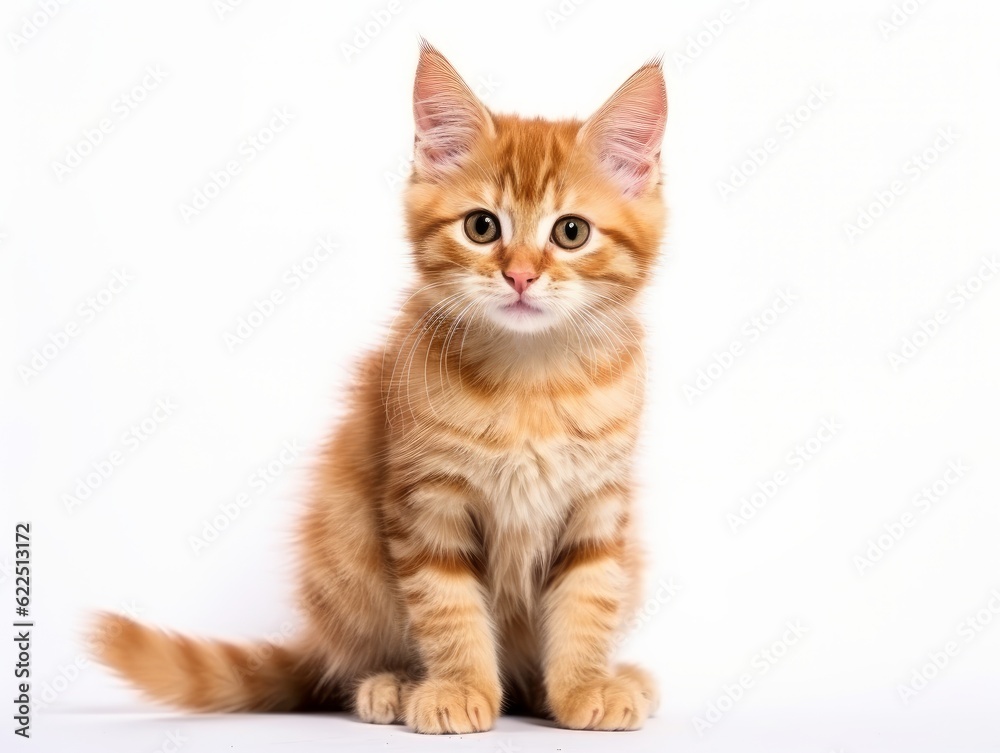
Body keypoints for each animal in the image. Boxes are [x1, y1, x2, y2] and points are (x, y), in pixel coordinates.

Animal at [94, 42, 668, 736]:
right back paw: (391, 684)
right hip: (345, 546)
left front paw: (584, 685)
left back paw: (593, 680)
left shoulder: (599, 506)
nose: (520, 276)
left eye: (571, 232)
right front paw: (459, 687)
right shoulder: (425, 502)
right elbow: (447, 607)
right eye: (482, 227)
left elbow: (589, 599)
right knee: (352, 659)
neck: (531, 378)